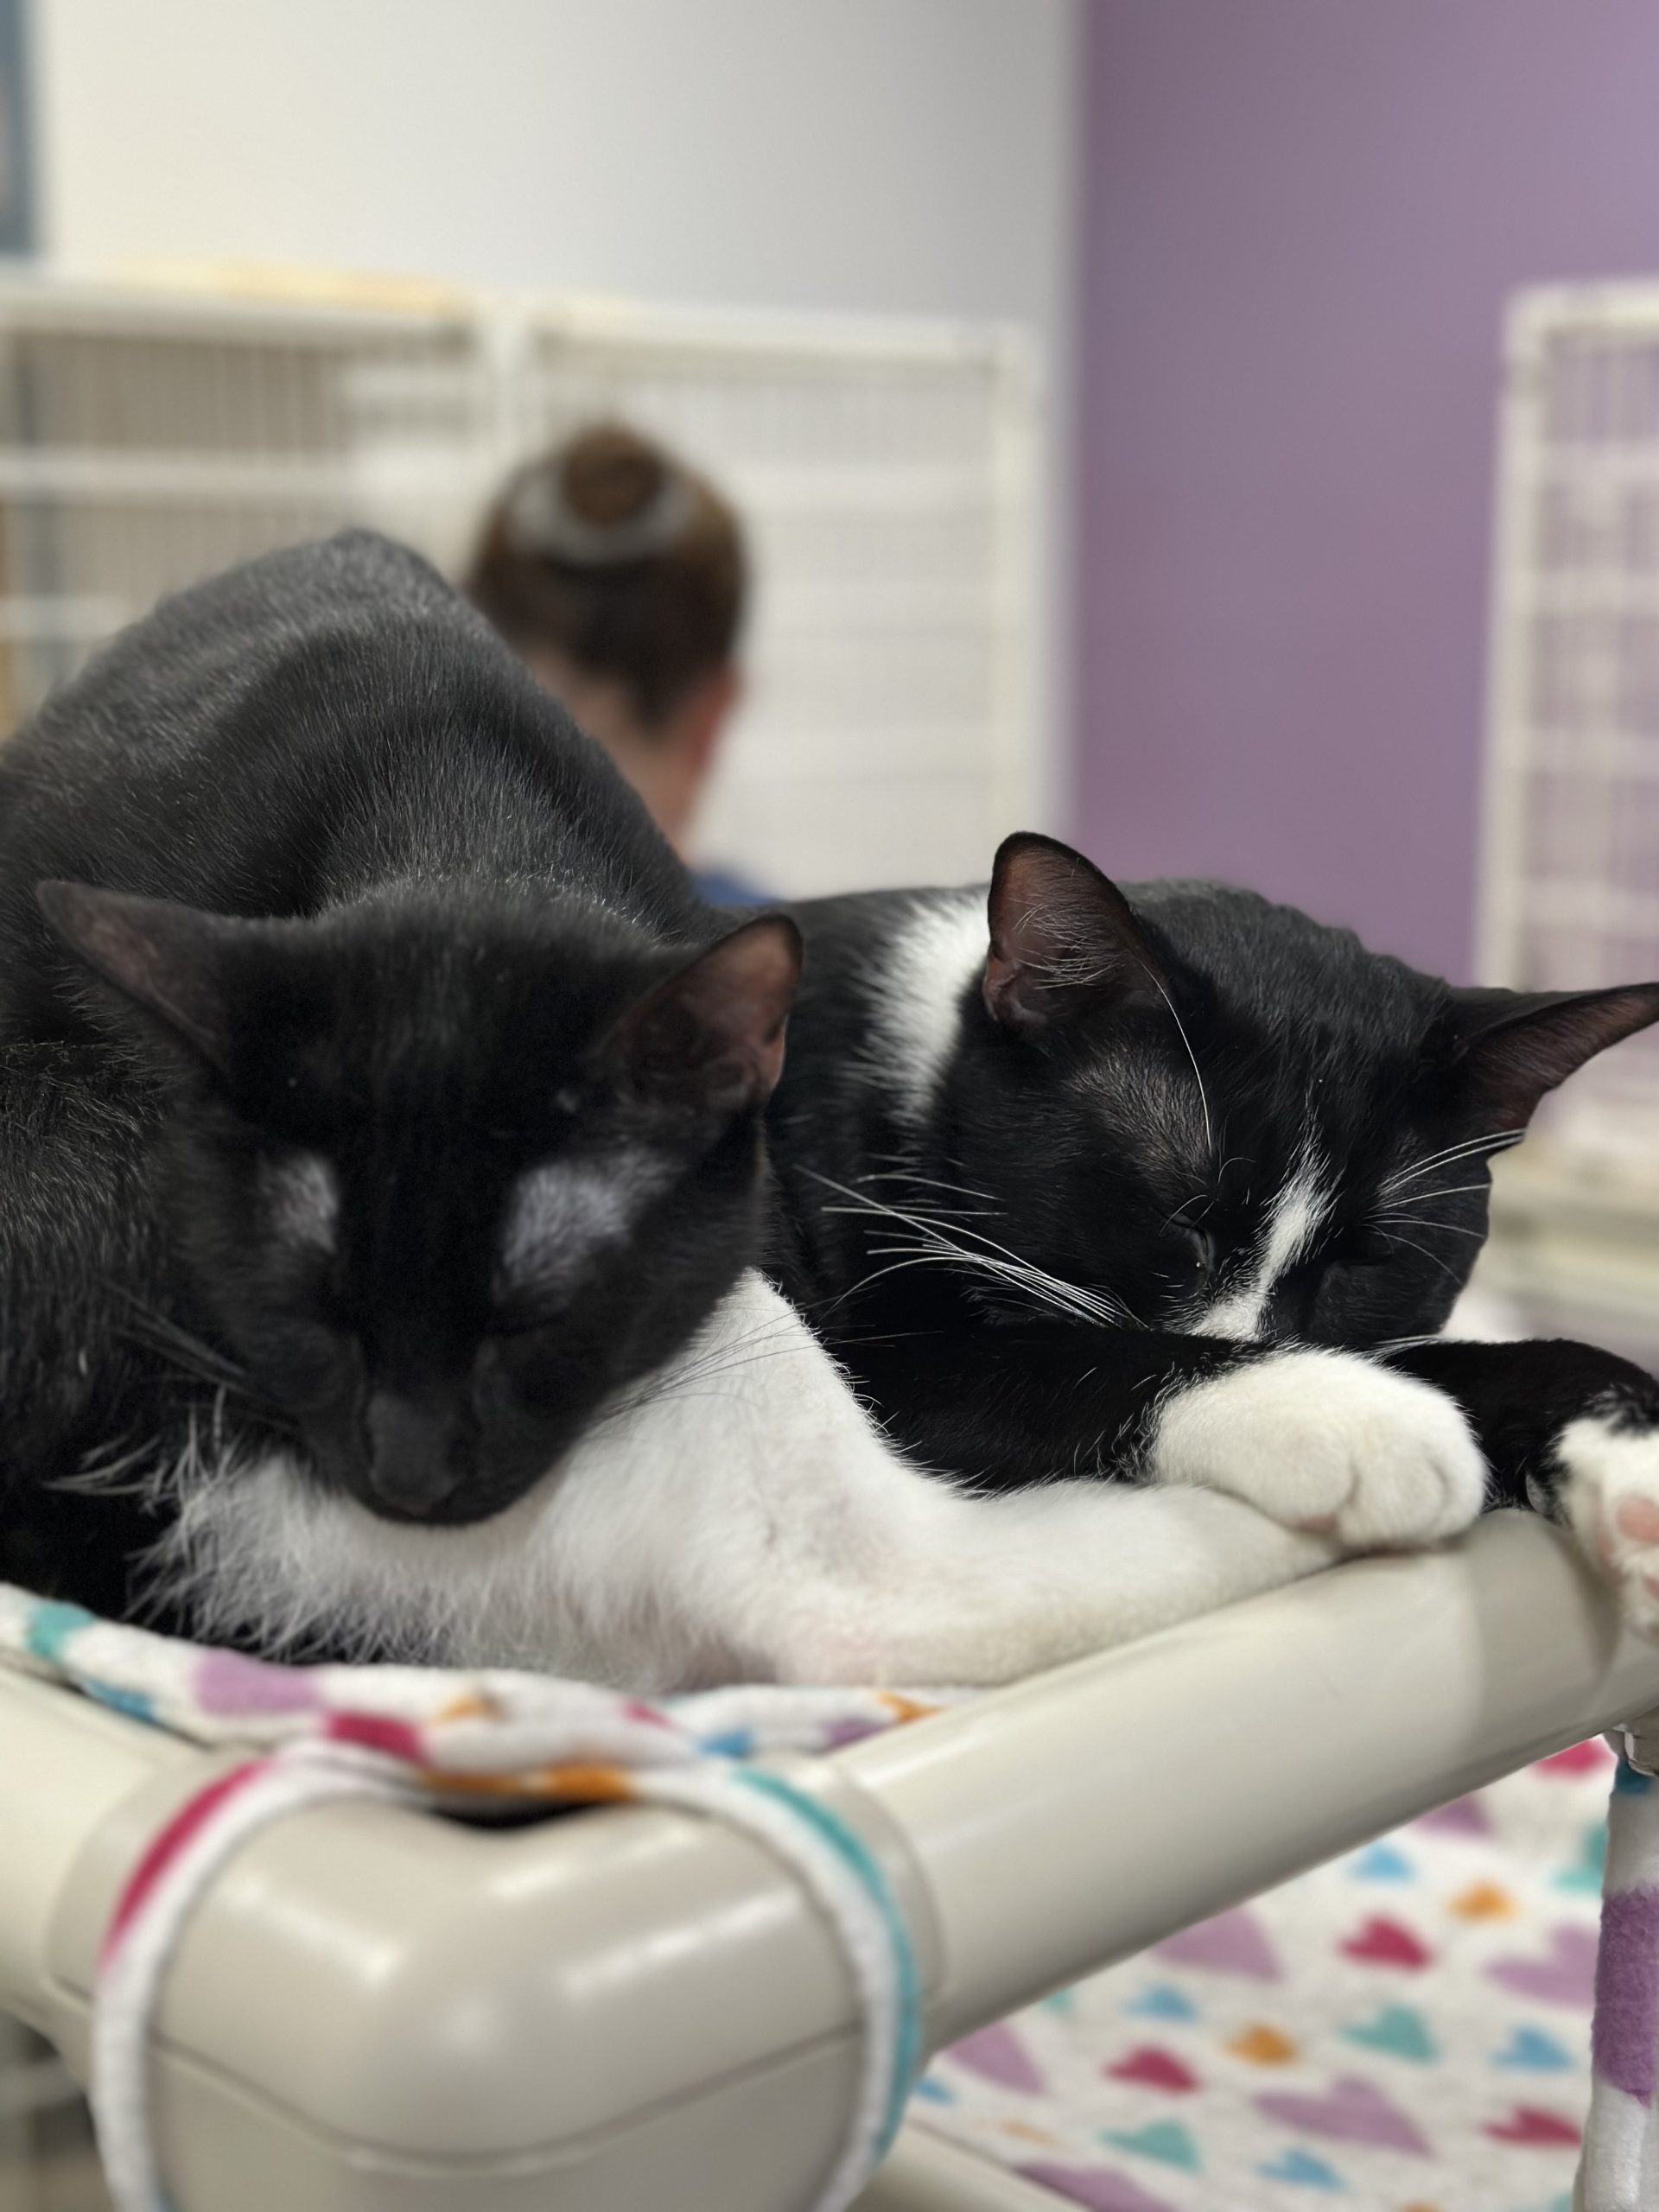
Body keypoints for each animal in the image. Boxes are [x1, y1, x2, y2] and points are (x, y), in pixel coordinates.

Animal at [767, 831, 1659, 1633]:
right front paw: (1348, 1413)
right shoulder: (879, 1346)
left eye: (1363, 1263)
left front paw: (1630, 1450)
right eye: (1181, 1222)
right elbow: (1060, 1355)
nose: (1244, 1341)